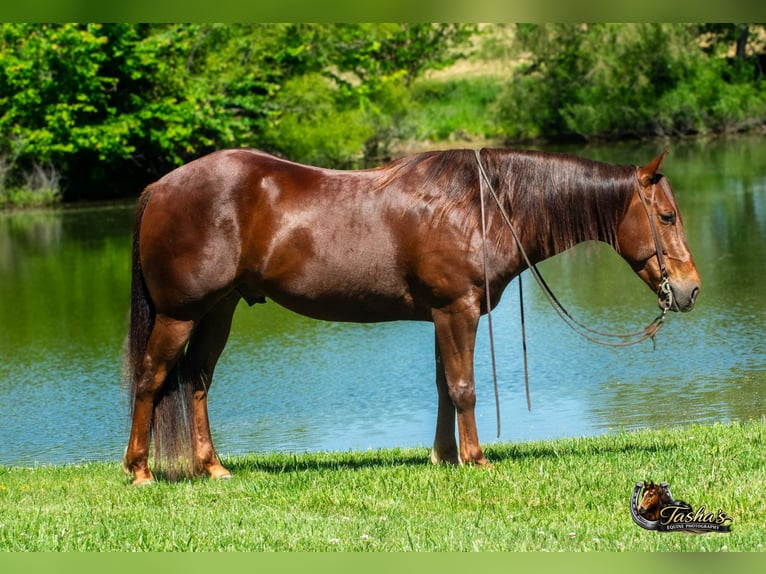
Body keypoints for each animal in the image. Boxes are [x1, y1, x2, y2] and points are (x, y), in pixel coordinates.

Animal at [122, 147, 700, 485]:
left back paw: (212, 467)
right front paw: (475, 458)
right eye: (667, 216)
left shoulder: (443, 317)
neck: (480, 205)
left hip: (218, 312)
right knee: (152, 379)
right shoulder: (457, 310)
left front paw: (443, 455)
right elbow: (464, 387)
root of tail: (157, 188)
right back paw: (140, 470)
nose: (690, 289)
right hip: (178, 314)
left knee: (197, 379)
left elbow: (445, 386)